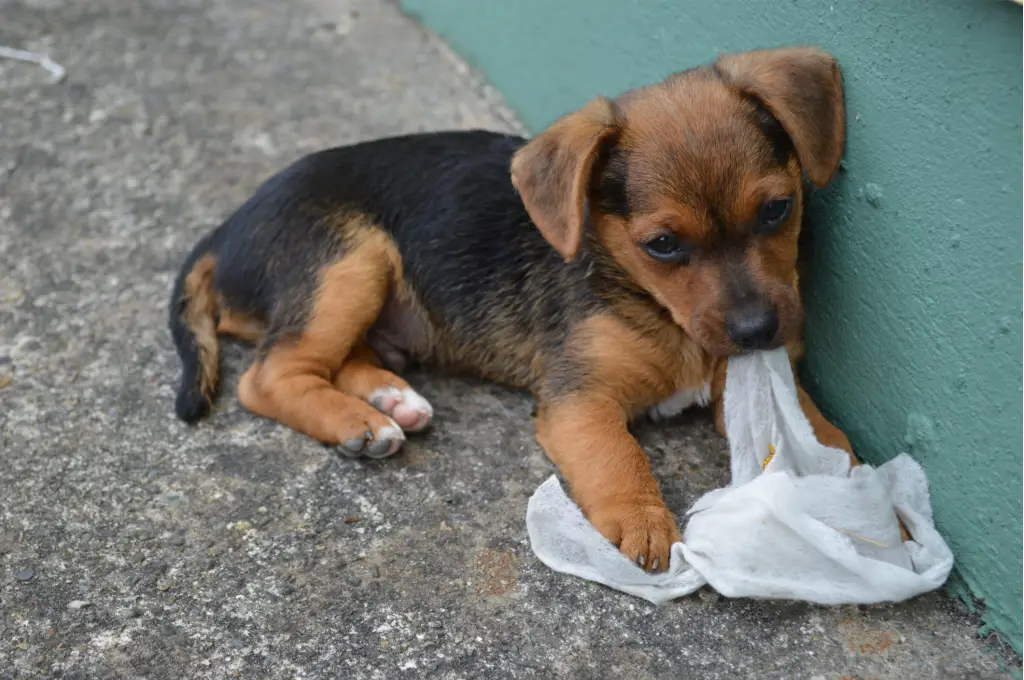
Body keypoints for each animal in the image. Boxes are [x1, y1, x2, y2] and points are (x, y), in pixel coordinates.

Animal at [169, 45, 856, 569]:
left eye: (778, 210)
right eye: (662, 245)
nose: (758, 332)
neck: (654, 306)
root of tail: (224, 230)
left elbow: (813, 422)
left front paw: (834, 466)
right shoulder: (580, 400)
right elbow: (619, 455)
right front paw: (642, 520)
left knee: (332, 358)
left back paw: (391, 402)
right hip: (349, 261)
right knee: (270, 375)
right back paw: (358, 422)